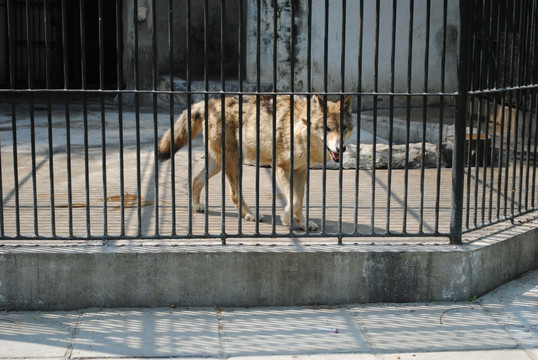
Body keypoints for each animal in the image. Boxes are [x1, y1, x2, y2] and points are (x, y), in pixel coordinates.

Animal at [157, 95, 354, 231]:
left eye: (343, 128)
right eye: (327, 128)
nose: (341, 148)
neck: (299, 128)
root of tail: (212, 102)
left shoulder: (300, 171)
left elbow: (299, 201)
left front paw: (301, 223)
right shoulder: (281, 169)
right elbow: (294, 200)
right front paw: (286, 219)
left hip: (218, 164)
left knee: (196, 180)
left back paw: (196, 206)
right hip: (234, 163)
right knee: (234, 194)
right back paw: (251, 215)